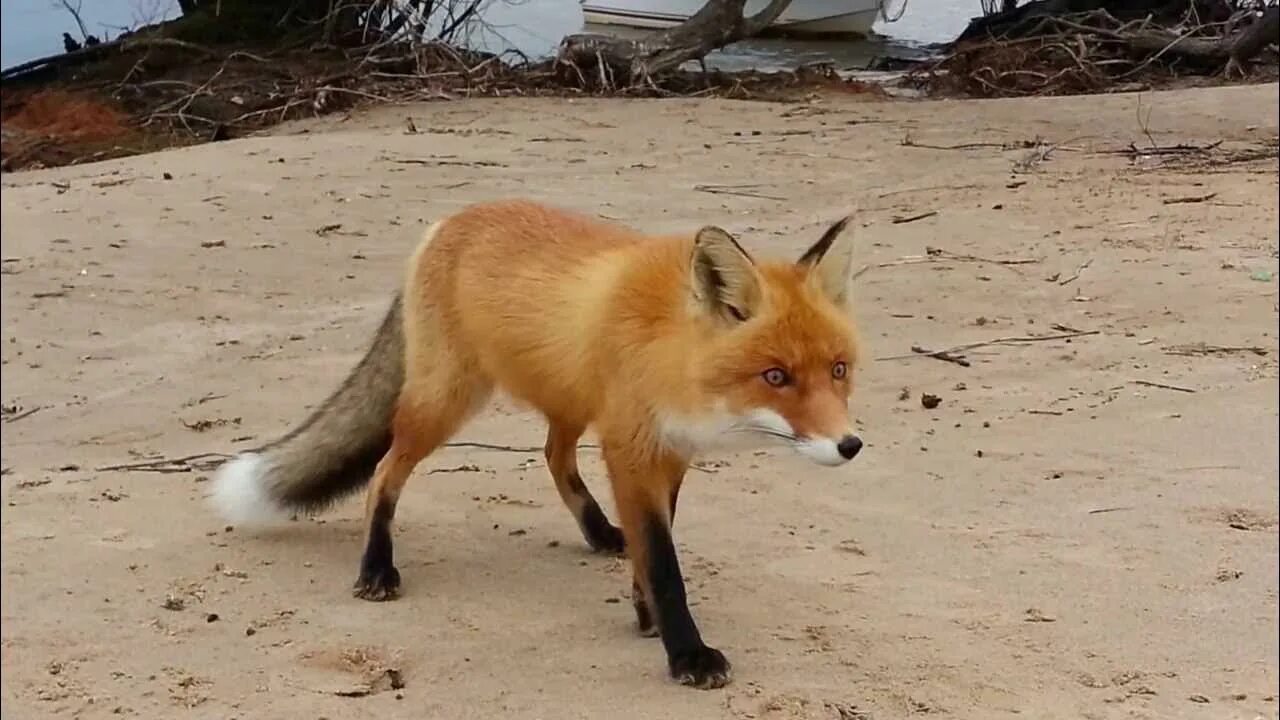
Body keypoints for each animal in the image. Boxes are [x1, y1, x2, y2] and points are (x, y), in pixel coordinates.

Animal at [215, 197, 865, 691]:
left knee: (552, 455)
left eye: (838, 370)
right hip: (445, 404)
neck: (672, 359)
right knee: (384, 474)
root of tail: (447, 221)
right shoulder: (631, 450)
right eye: (776, 376)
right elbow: (663, 562)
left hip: (567, 400)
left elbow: (654, 549)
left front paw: (646, 612)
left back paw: (600, 532)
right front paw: (686, 652)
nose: (850, 445)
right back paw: (377, 566)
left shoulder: (669, 454)